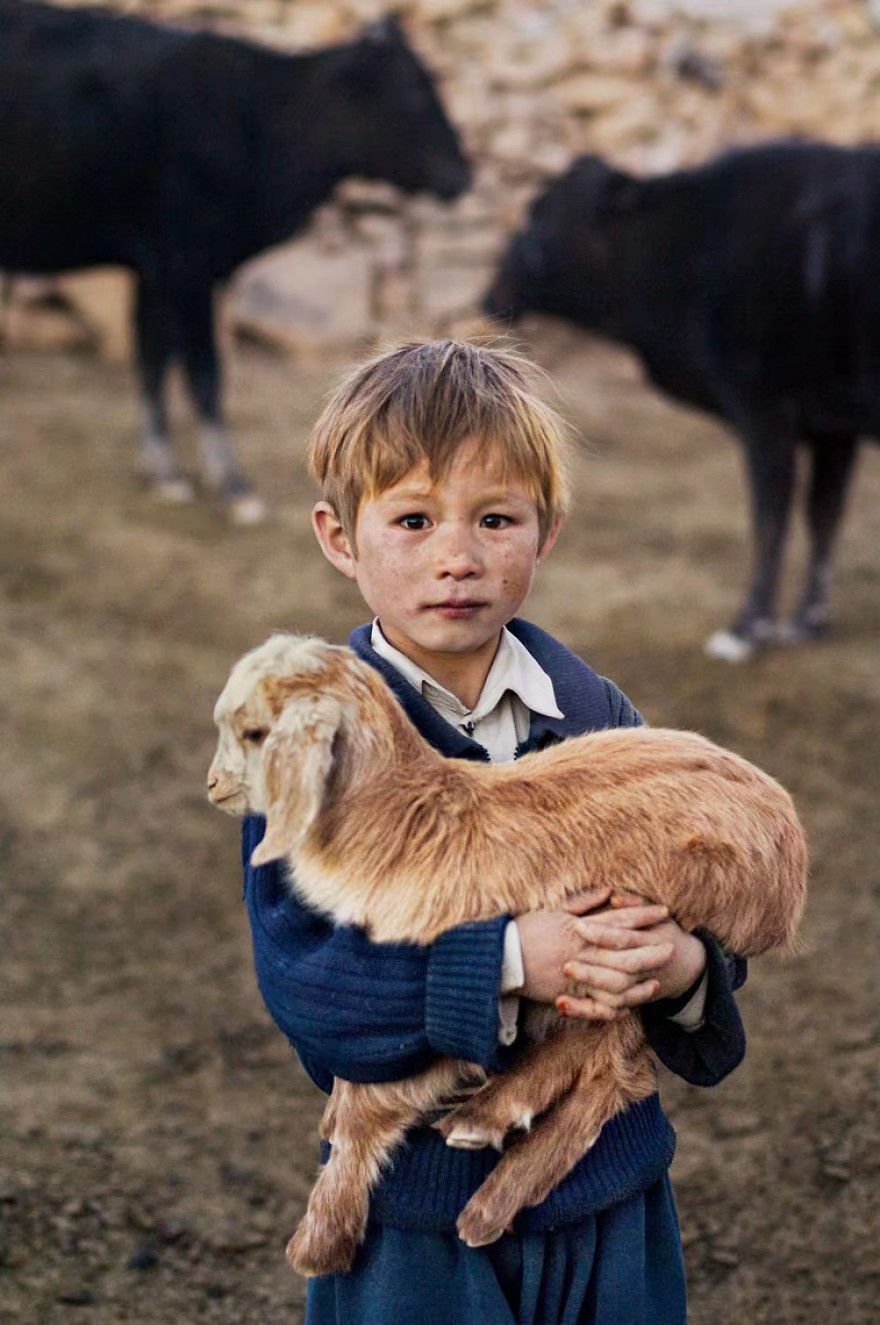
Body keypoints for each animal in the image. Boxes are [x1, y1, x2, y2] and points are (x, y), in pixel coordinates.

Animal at [0, 2, 471, 519]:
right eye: (412, 91)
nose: (463, 174)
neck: (253, 116)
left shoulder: (156, 269)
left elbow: (152, 358)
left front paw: (161, 468)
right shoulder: (189, 264)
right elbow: (204, 371)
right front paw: (230, 483)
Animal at [485, 142, 874, 659]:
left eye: (543, 215)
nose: (492, 295)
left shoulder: (765, 411)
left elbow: (771, 518)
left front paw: (745, 629)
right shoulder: (832, 427)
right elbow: (823, 516)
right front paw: (808, 621)